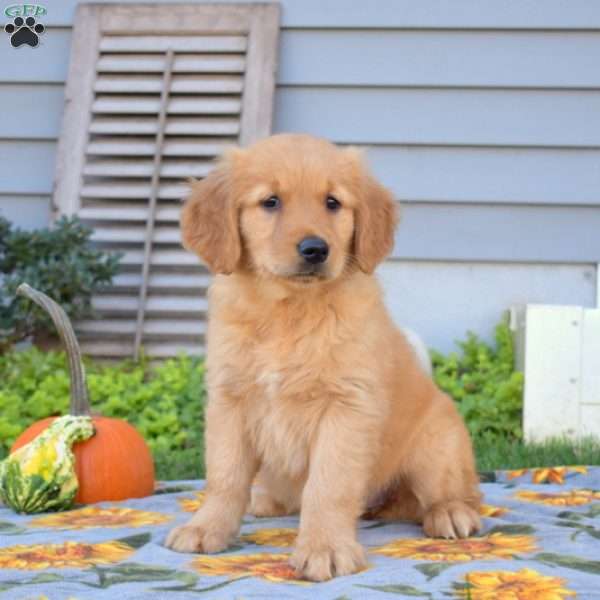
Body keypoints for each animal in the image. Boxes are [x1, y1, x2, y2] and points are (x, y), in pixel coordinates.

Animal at [165, 132, 482, 580]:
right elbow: (224, 476)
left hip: (438, 442)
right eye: (270, 202)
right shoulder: (230, 401)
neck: (289, 312)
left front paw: (325, 547)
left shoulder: (346, 408)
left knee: (456, 493)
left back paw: (450, 512)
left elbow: (328, 485)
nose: (315, 249)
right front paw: (206, 527)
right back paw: (266, 501)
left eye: (333, 202)